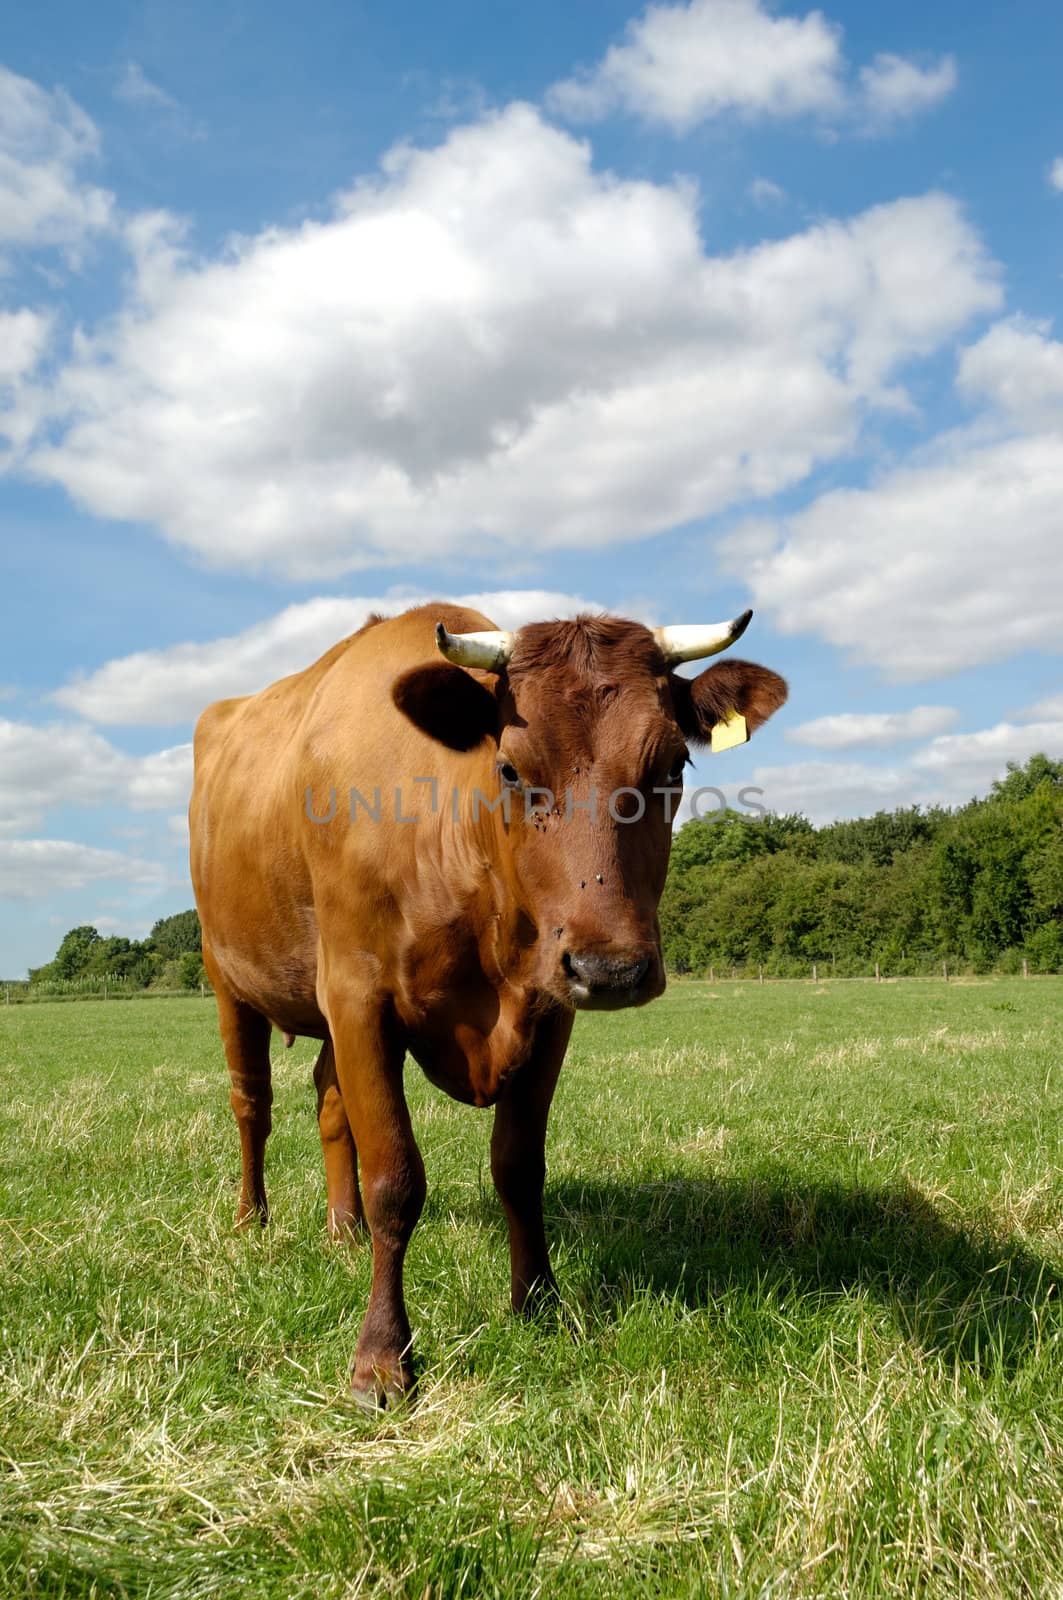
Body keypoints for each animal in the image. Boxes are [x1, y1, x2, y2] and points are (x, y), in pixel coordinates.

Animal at [191, 601, 784, 1401]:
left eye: (672, 767)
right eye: (510, 769)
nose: (612, 969)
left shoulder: (548, 1006)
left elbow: (518, 1167)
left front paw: (537, 1303)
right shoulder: (356, 994)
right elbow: (394, 1178)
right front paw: (382, 1356)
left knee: (327, 1100)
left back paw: (342, 1229)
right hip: (227, 975)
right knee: (251, 1105)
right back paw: (251, 1222)